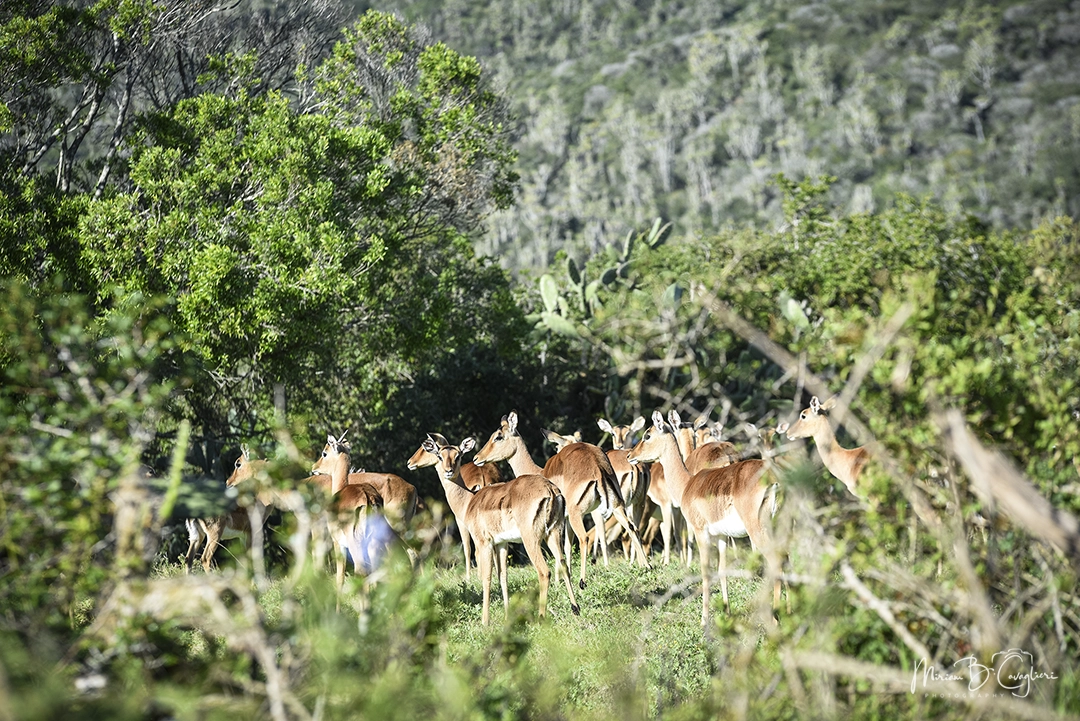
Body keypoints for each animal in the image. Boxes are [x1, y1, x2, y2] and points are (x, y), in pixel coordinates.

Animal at [406, 433, 502, 581]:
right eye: (440, 456)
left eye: (458, 456)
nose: (410, 462)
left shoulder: (461, 522)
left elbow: (468, 548)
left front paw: (469, 578)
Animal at [427, 435, 579, 625]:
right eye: (440, 456)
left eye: (458, 455)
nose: (448, 471)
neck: (469, 503)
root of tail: (551, 490)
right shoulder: (501, 543)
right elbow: (503, 576)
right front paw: (507, 615)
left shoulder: (483, 543)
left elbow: (486, 577)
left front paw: (485, 621)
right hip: (553, 534)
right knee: (564, 564)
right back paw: (575, 609)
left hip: (531, 540)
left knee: (544, 571)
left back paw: (541, 617)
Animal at [473, 411, 648, 590]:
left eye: (498, 437)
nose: (476, 457)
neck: (540, 472)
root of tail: (598, 467)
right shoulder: (564, 520)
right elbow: (567, 546)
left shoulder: (562, 519)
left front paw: (559, 581)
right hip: (617, 506)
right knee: (633, 528)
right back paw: (646, 566)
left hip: (578, 513)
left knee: (585, 538)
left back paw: (583, 581)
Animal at [628, 411, 781, 626]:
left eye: (647, 435)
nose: (630, 455)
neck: (687, 483)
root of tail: (773, 480)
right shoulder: (722, 537)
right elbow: (722, 570)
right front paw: (727, 612)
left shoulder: (701, 532)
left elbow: (706, 572)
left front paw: (704, 620)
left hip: (758, 529)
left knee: (776, 561)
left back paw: (776, 618)